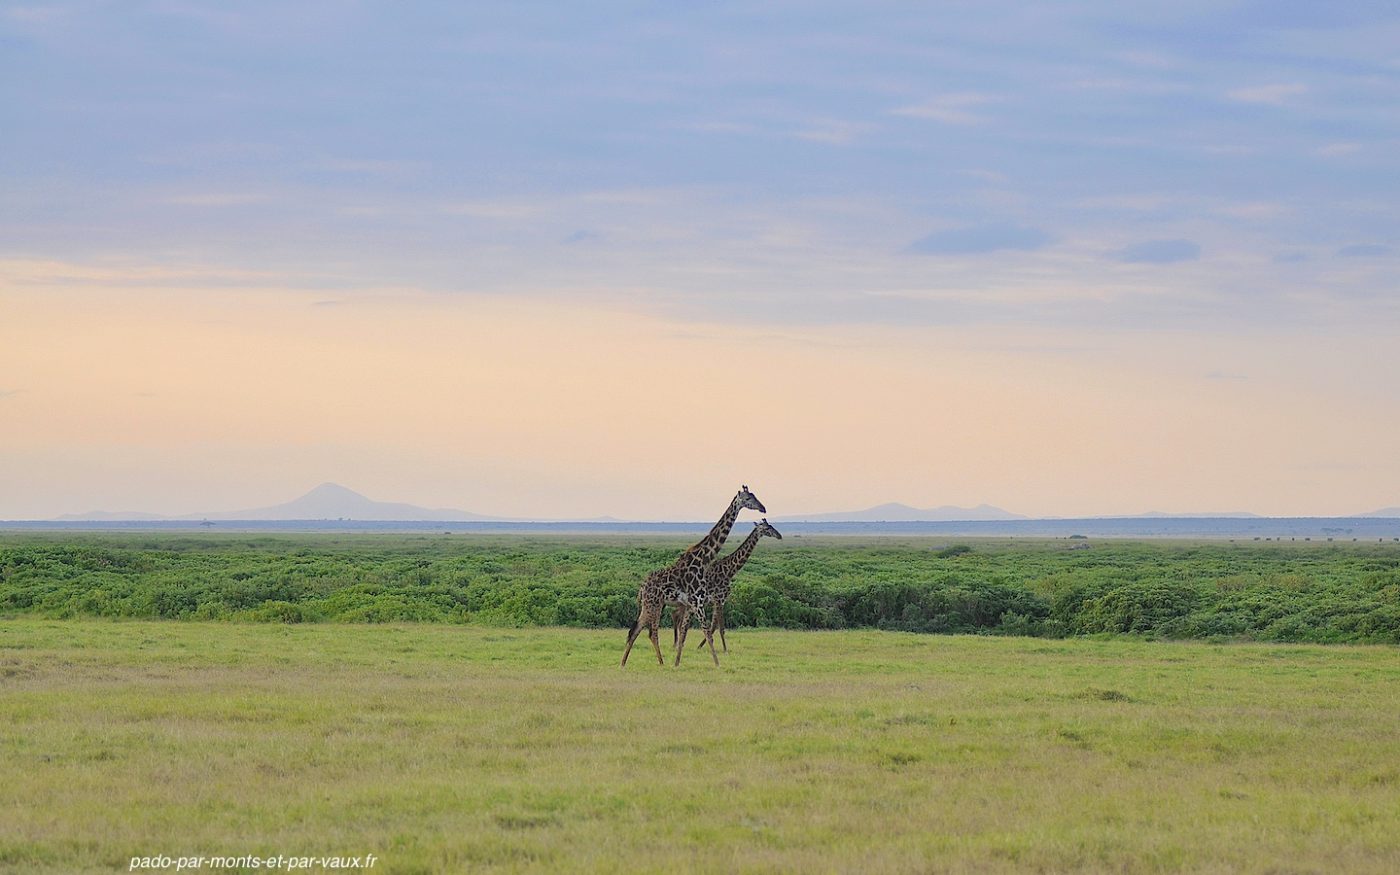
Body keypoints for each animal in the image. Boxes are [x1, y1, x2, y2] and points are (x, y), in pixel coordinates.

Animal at [621, 485, 765, 667]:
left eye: (755, 496)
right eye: (747, 499)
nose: (763, 508)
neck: (703, 558)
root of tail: (642, 588)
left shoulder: (694, 603)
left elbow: (689, 632)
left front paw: (678, 663)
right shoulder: (698, 601)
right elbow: (707, 632)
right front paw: (717, 664)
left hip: (653, 605)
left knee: (638, 629)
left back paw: (629, 663)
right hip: (652, 604)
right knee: (646, 631)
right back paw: (651, 662)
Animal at [679, 518, 782, 653]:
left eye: (771, 525)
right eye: (766, 528)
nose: (779, 536)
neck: (730, 571)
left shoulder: (721, 601)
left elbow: (714, 626)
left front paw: (701, 646)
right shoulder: (718, 599)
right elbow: (720, 628)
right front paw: (724, 649)